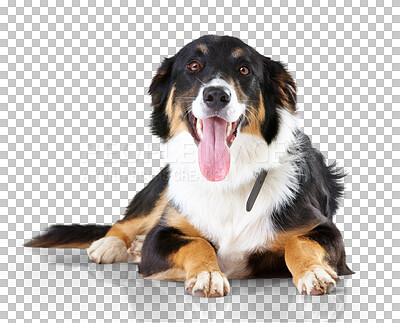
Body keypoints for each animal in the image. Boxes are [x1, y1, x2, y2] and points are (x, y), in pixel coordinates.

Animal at [25, 35, 354, 298]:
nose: (216, 95)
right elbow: (196, 244)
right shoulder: (160, 240)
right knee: (125, 222)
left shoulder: (324, 229)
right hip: (162, 188)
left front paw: (313, 271)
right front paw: (207, 274)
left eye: (244, 69)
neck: (229, 179)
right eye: (193, 66)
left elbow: (299, 242)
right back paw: (111, 244)